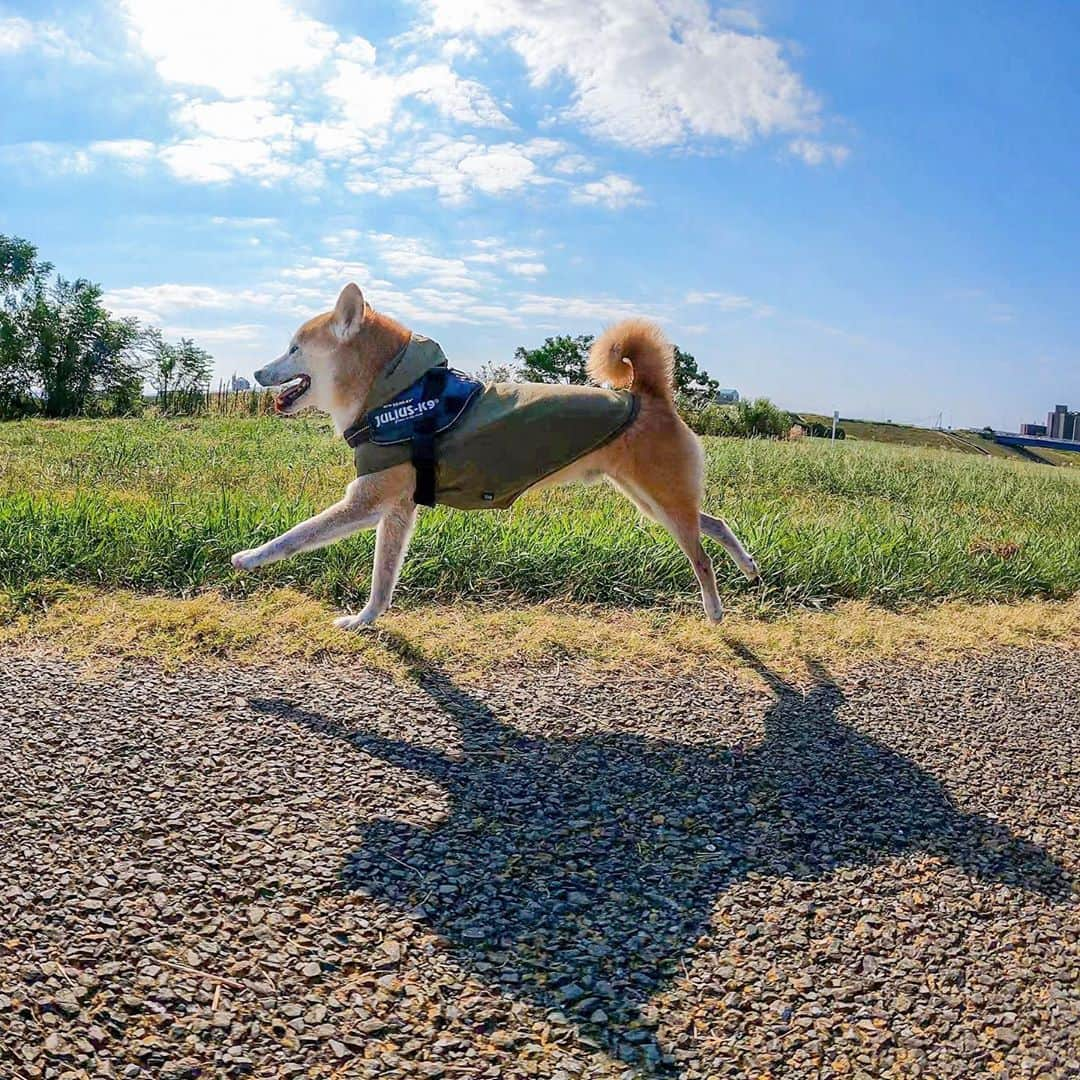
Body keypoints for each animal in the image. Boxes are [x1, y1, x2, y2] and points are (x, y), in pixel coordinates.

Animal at [231, 282, 760, 630]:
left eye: (294, 348)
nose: (255, 373)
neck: (397, 396)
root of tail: (647, 395)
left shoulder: (366, 503)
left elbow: (296, 536)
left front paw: (251, 556)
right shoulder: (395, 511)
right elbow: (382, 582)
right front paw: (365, 620)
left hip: (661, 501)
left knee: (701, 557)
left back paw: (715, 610)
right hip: (652, 501)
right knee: (712, 523)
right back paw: (748, 564)